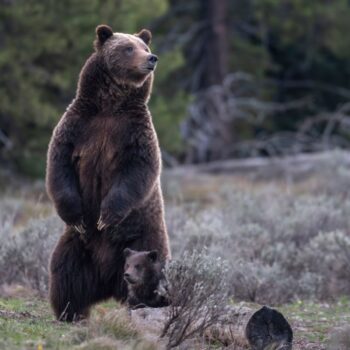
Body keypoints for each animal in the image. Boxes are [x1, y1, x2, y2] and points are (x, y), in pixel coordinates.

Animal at [45, 23, 172, 322]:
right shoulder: (78, 126)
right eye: (128, 48)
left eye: (145, 46)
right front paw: (79, 216)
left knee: (150, 273)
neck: (110, 105)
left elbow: (138, 171)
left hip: (145, 239)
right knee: (65, 273)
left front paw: (106, 216)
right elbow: (59, 166)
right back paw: (70, 312)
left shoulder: (134, 133)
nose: (152, 58)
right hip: (78, 247)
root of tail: (107, 282)